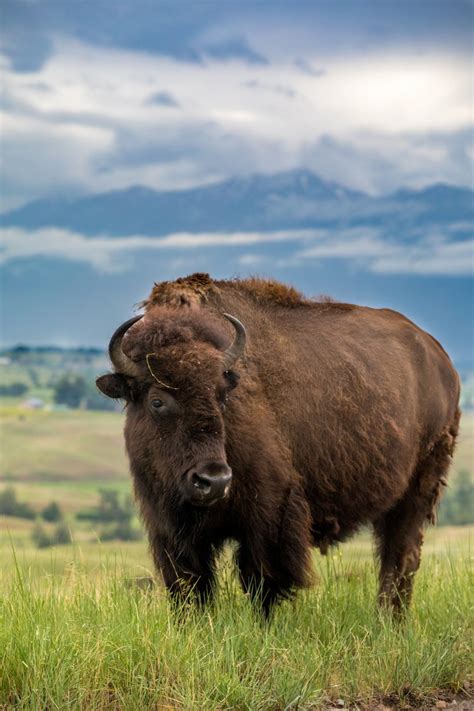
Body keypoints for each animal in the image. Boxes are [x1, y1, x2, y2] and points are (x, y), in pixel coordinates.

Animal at [96, 274, 460, 616]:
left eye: (222, 396)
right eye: (157, 401)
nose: (213, 481)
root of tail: (441, 361)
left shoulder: (270, 516)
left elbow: (263, 583)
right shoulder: (171, 530)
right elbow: (191, 589)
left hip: (419, 489)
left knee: (400, 559)